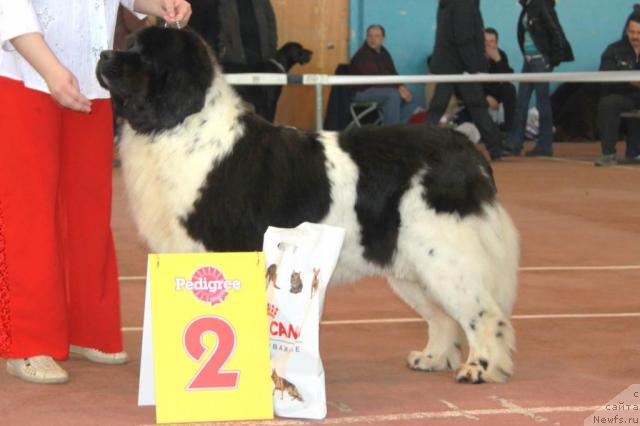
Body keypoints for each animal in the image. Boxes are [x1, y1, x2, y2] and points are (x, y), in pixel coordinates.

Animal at [97, 28, 516, 384]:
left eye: (143, 55)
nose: (103, 55)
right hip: (409, 264)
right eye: (129, 43)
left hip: (444, 255)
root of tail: (466, 149)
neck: (182, 125)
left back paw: (479, 368)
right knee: (443, 316)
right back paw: (432, 358)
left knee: (483, 312)